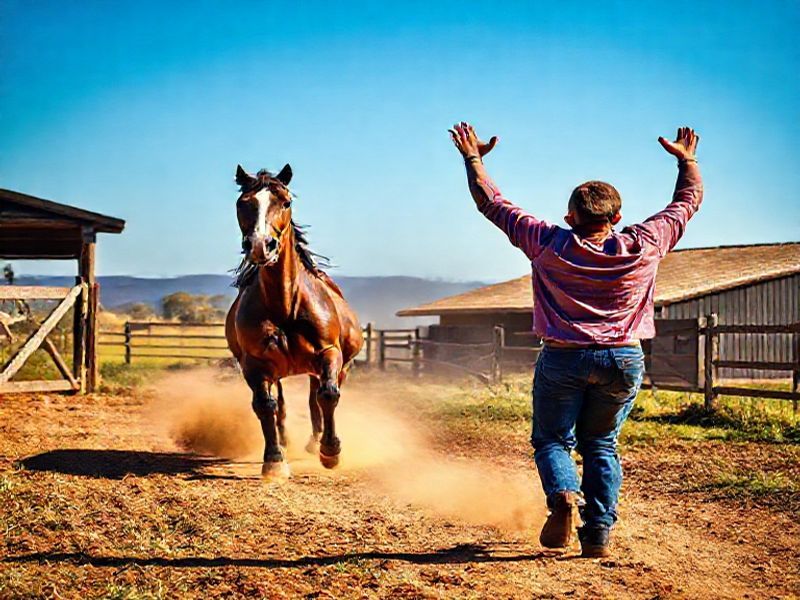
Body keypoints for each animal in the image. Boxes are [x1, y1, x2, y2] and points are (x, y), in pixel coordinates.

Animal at [225, 164, 363, 478]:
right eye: (242, 203)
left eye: (286, 202)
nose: (261, 245)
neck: (286, 305)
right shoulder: (254, 365)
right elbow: (265, 405)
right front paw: (274, 460)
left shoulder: (329, 353)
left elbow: (328, 396)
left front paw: (330, 452)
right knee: (282, 404)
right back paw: (287, 440)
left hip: (336, 366)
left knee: (318, 396)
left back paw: (316, 441)